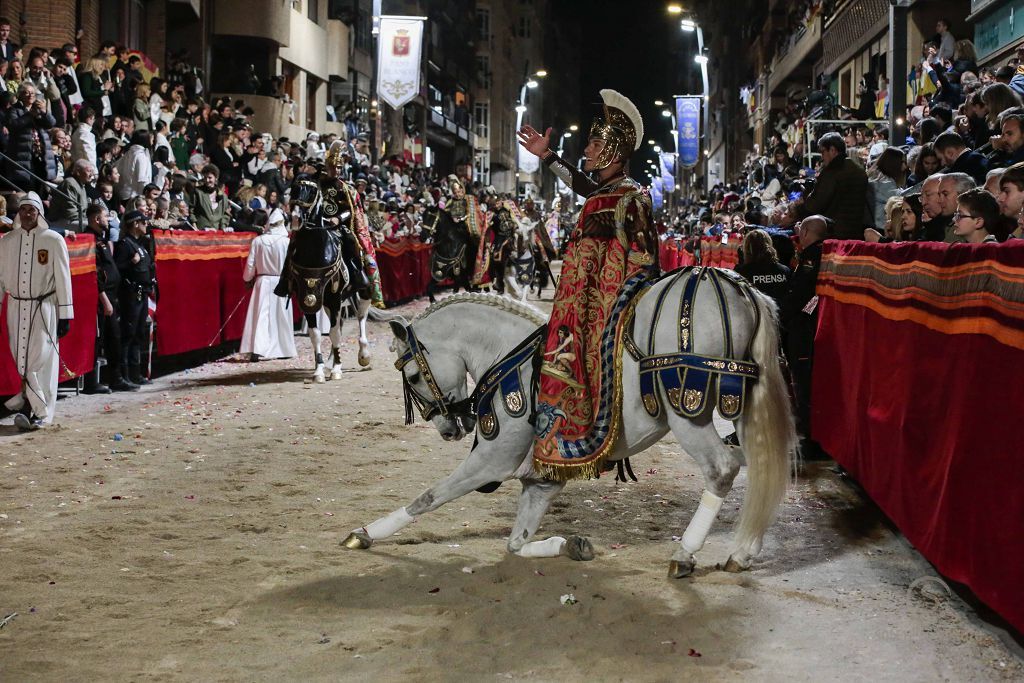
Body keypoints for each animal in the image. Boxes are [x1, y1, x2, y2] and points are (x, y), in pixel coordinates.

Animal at [352, 278, 798, 577]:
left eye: (412, 375)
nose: (450, 427)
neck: (509, 357)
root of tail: (740, 289)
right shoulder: (542, 481)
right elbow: (516, 543)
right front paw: (571, 544)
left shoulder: (493, 460)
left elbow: (428, 497)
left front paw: (365, 533)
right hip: (740, 412)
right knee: (762, 466)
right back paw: (743, 551)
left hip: (688, 415)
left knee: (723, 468)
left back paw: (685, 554)